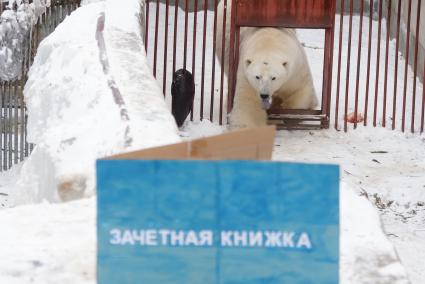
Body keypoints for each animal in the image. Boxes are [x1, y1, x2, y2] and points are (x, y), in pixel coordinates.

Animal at [217, 0, 316, 128]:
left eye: (274, 77)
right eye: (257, 76)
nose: (264, 94)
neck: (268, 41)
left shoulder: (297, 70)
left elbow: (299, 92)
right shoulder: (246, 74)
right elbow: (249, 104)